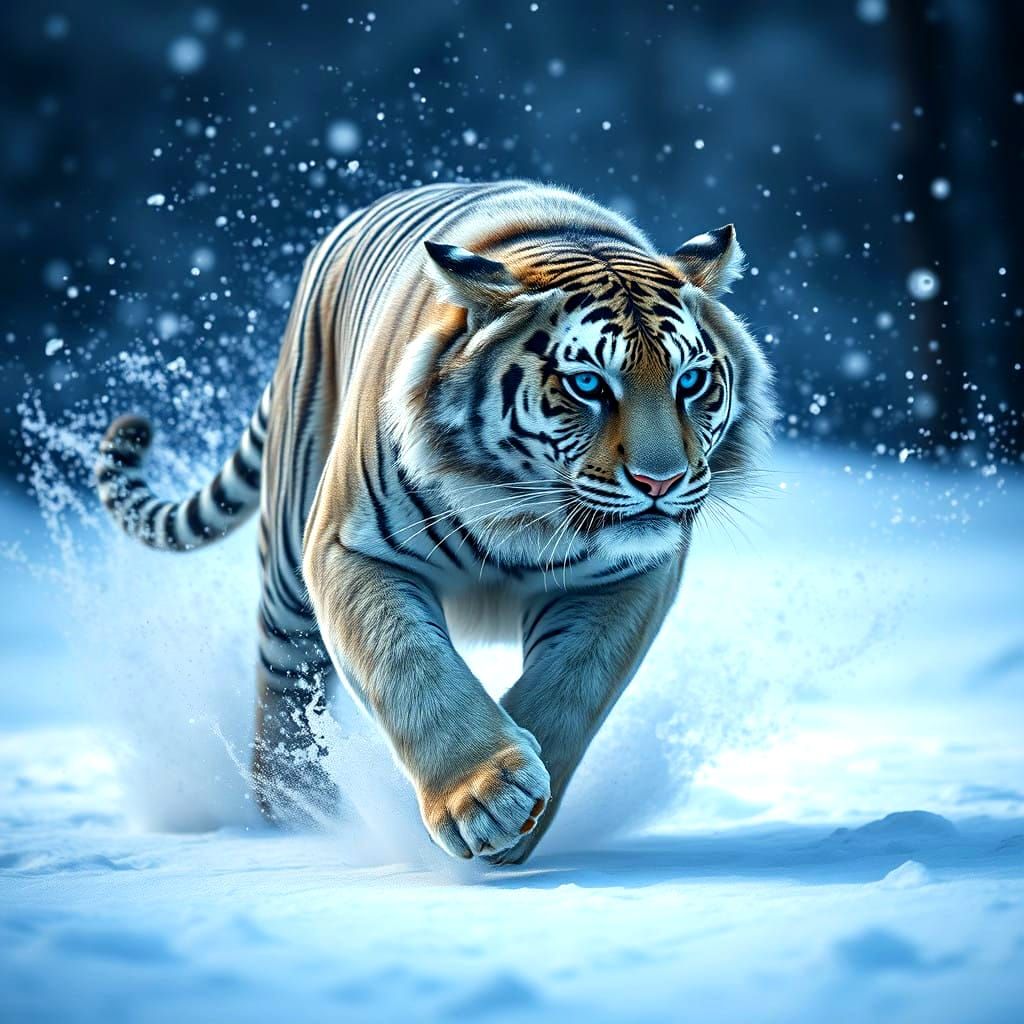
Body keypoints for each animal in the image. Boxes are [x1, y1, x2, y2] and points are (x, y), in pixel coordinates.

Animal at [95, 180, 775, 864]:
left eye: (692, 380)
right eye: (587, 383)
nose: (660, 483)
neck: (522, 515)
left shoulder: (633, 576)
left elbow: (571, 685)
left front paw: (521, 819)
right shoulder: (348, 548)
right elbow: (408, 663)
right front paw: (485, 798)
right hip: (288, 568)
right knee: (285, 686)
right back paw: (299, 816)